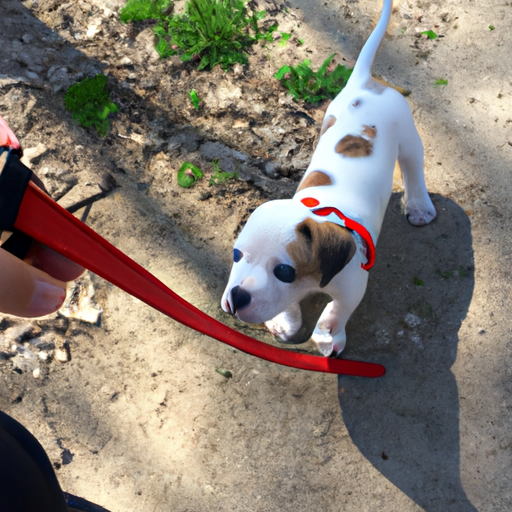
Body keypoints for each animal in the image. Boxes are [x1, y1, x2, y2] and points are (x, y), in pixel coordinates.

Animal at [220, 0, 436, 358]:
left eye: (284, 271)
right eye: (237, 255)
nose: (237, 297)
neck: (320, 212)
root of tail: (365, 84)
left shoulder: (352, 286)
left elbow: (337, 310)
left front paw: (327, 335)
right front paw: (284, 321)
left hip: (408, 137)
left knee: (413, 167)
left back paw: (420, 207)